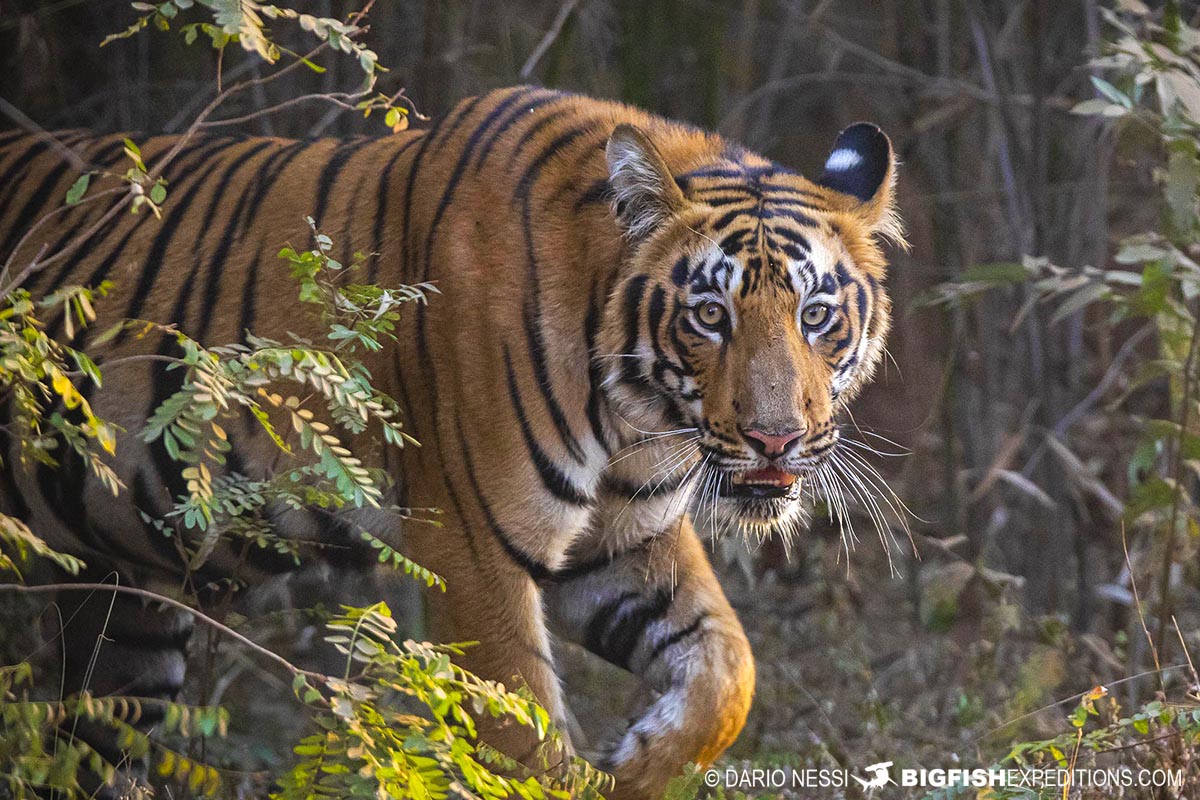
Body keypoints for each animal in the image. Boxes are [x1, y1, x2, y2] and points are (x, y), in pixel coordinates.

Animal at [0, 87, 902, 800]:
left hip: (126, 609)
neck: (636, 418)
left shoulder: (624, 541)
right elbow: (522, 746)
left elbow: (729, 674)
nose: (775, 440)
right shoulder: (475, 550)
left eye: (816, 315)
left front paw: (632, 764)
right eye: (711, 315)